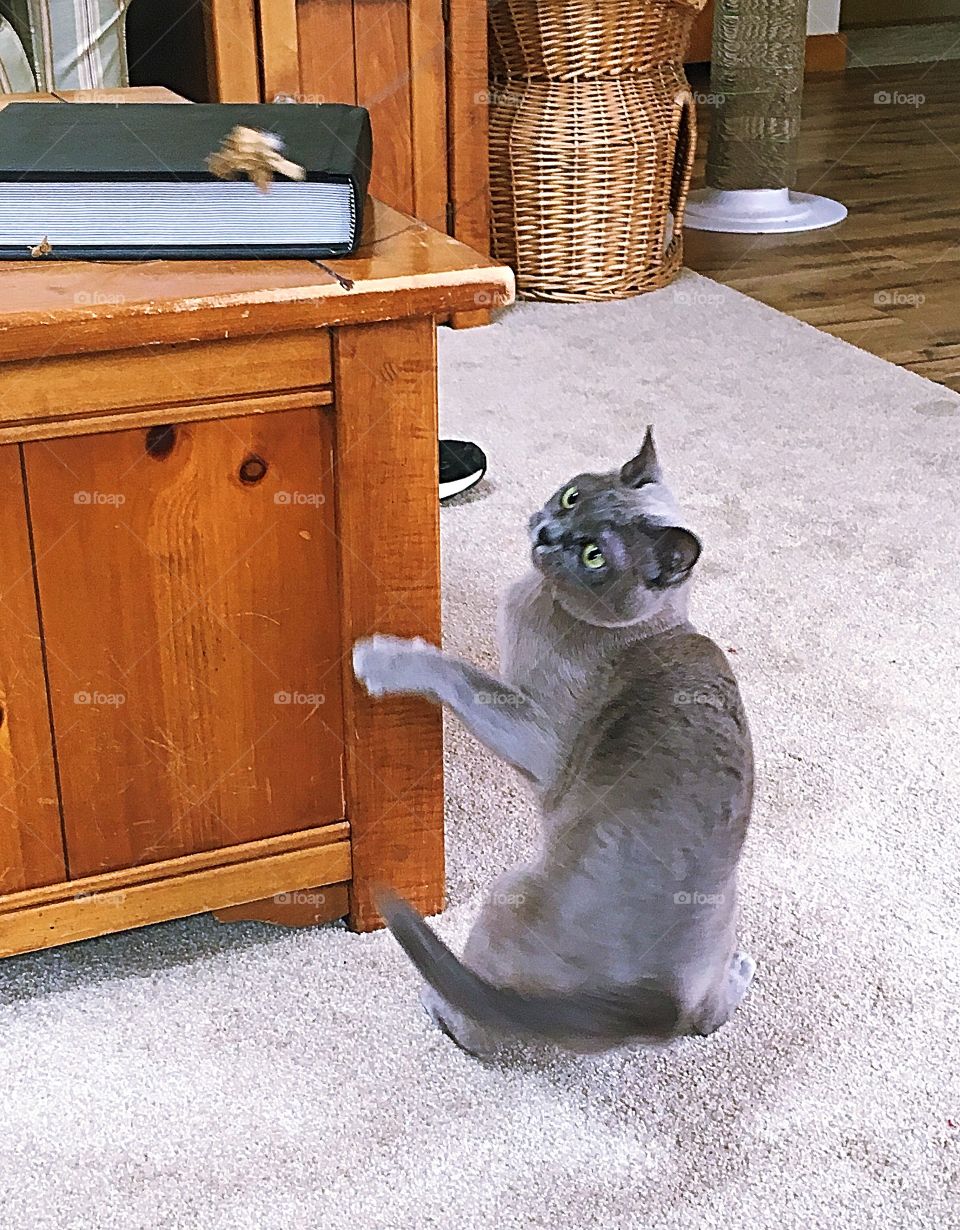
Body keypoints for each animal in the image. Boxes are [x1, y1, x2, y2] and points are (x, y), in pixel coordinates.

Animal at [354, 432, 758, 1057]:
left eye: (594, 556)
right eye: (572, 498)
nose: (548, 532)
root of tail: (655, 1005)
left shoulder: (535, 734)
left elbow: (457, 673)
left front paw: (378, 656)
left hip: (504, 897)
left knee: (480, 1024)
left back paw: (436, 1001)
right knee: (703, 1020)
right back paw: (738, 974)